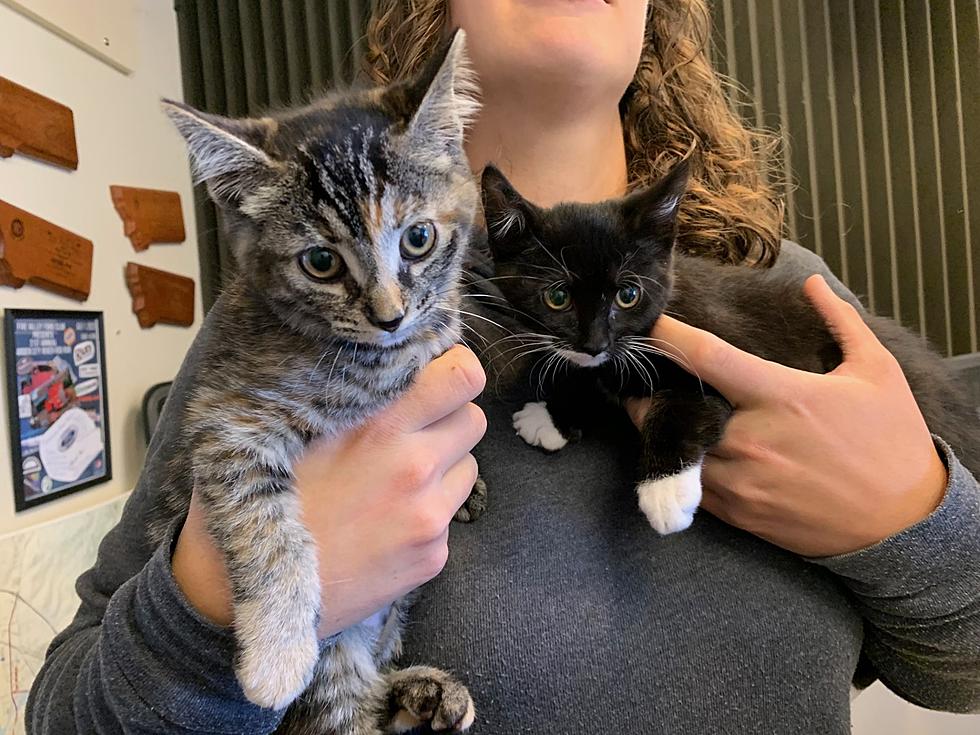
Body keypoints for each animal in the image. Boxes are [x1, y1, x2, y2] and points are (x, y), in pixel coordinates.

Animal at [153, 31, 482, 735]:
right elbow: (264, 524)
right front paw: (276, 652)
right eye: (322, 262)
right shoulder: (226, 420)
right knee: (340, 707)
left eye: (419, 238)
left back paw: (422, 693)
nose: (389, 315)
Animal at [480, 162, 980, 536]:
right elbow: (601, 378)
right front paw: (552, 415)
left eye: (628, 295)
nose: (593, 342)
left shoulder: (728, 345)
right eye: (557, 297)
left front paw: (665, 492)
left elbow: (683, 405)